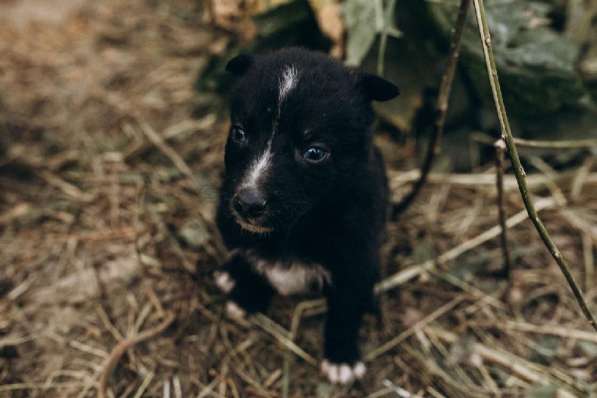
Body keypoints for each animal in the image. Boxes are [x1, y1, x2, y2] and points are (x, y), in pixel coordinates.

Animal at [212, 47, 398, 386]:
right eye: (239, 133)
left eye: (314, 152)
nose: (247, 203)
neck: (296, 227)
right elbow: (253, 261)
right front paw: (247, 296)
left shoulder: (354, 254)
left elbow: (344, 309)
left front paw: (341, 357)